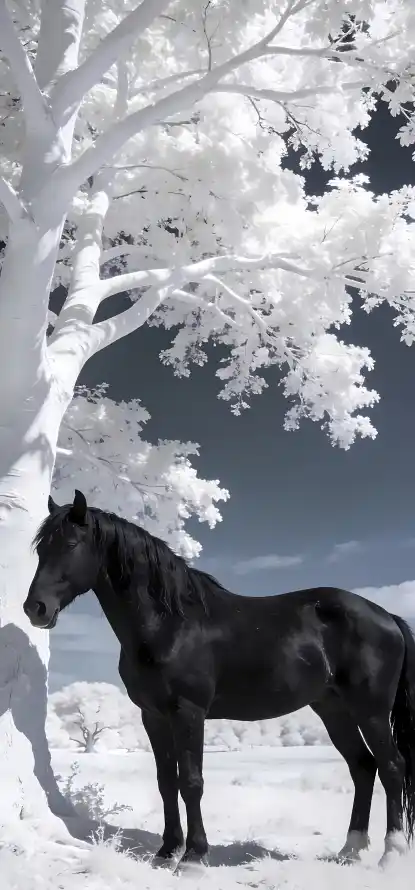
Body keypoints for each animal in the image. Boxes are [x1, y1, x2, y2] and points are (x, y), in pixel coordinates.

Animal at [23, 490, 415, 872]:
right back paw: (350, 851)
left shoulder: (189, 711)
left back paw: (391, 854)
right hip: (333, 710)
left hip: (371, 711)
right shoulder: (153, 716)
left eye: (71, 544)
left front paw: (194, 857)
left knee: (392, 767)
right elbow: (166, 782)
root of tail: (387, 616)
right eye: (42, 549)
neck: (170, 624)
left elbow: (191, 782)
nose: (35, 609)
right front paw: (166, 852)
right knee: (363, 767)